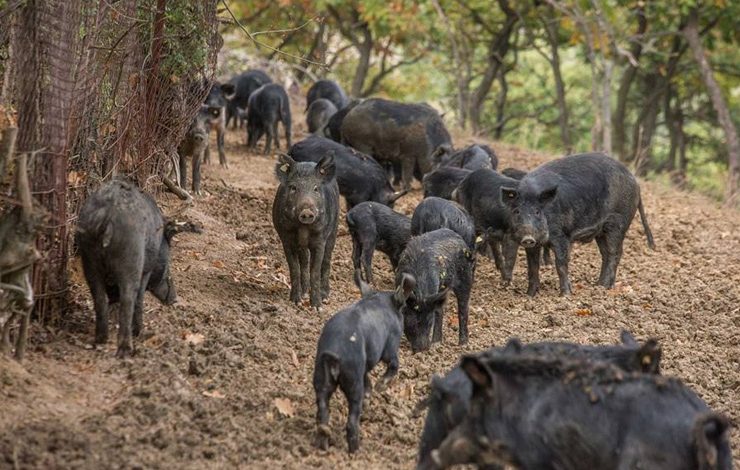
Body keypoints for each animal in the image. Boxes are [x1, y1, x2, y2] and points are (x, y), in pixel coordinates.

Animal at [75, 180, 199, 356]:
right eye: (169, 260)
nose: (174, 299)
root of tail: (108, 215)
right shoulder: (146, 270)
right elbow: (139, 296)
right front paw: (140, 332)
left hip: (88, 255)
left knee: (99, 297)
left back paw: (100, 340)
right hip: (131, 256)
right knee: (129, 297)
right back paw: (127, 348)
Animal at [274, 153, 340, 308]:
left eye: (315, 188)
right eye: (293, 188)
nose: (306, 212)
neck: (303, 229)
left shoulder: (320, 240)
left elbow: (315, 270)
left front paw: (317, 307)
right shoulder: (286, 239)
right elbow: (294, 268)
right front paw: (296, 302)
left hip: (334, 230)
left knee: (326, 260)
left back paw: (325, 297)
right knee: (304, 261)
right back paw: (304, 293)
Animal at [314, 270, 416, 454]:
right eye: (403, 309)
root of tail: (333, 354)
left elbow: (368, 378)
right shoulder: (389, 347)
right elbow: (394, 364)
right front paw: (380, 387)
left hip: (321, 378)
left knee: (323, 412)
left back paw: (323, 445)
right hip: (353, 381)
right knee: (351, 421)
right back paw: (355, 450)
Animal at [502, 152, 652, 296]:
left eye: (537, 211)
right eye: (517, 211)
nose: (528, 238)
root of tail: (636, 183)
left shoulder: (561, 234)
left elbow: (561, 263)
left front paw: (565, 295)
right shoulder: (534, 245)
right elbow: (532, 267)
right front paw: (529, 295)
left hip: (618, 223)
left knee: (615, 252)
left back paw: (605, 287)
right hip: (601, 232)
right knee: (605, 253)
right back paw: (599, 285)